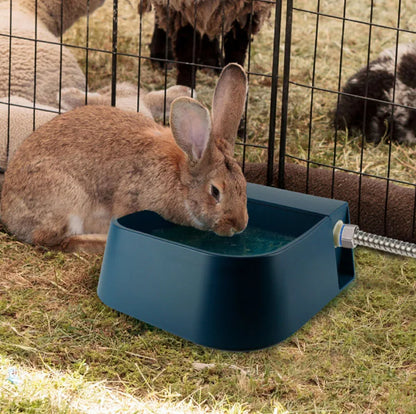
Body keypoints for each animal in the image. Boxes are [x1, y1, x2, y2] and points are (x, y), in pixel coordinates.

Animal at [0, 63, 249, 254]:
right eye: (215, 192)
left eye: (244, 185)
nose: (240, 225)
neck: (179, 180)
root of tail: (8, 210)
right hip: (68, 200)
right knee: (55, 240)